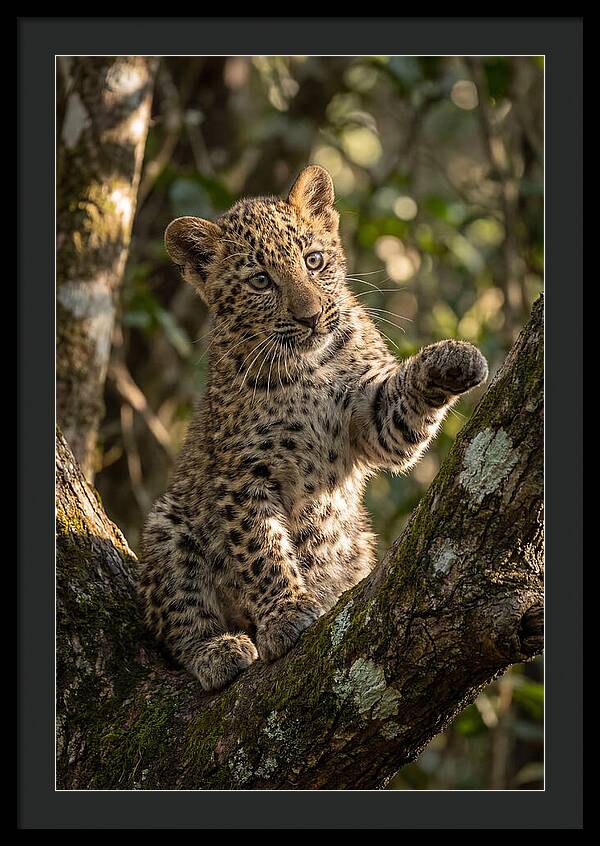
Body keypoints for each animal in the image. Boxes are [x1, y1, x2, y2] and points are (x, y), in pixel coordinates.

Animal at [137, 165, 488, 692]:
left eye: (314, 260)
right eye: (261, 281)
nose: (311, 316)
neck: (308, 369)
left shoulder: (370, 420)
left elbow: (398, 409)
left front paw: (454, 358)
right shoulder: (243, 476)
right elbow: (261, 549)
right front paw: (285, 614)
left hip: (357, 542)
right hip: (169, 524)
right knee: (177, 621)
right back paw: (218, 650)